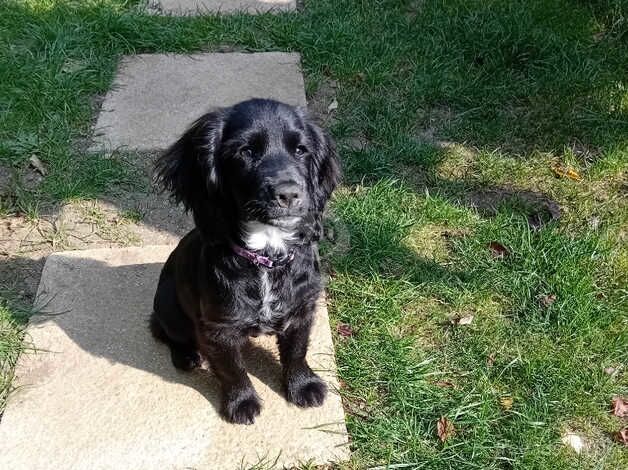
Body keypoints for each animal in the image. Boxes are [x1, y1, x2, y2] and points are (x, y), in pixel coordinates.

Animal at [150, 99, 340, 426]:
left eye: (301, 150)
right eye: (246, 151)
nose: (289, 194)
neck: (266, 257)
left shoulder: (302, 309)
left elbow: (297, 351)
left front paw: (303, 386)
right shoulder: (219, 328)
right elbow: (232, 369)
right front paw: (242, 403)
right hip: (168, 306)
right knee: (165, 331)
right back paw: (186, 355)